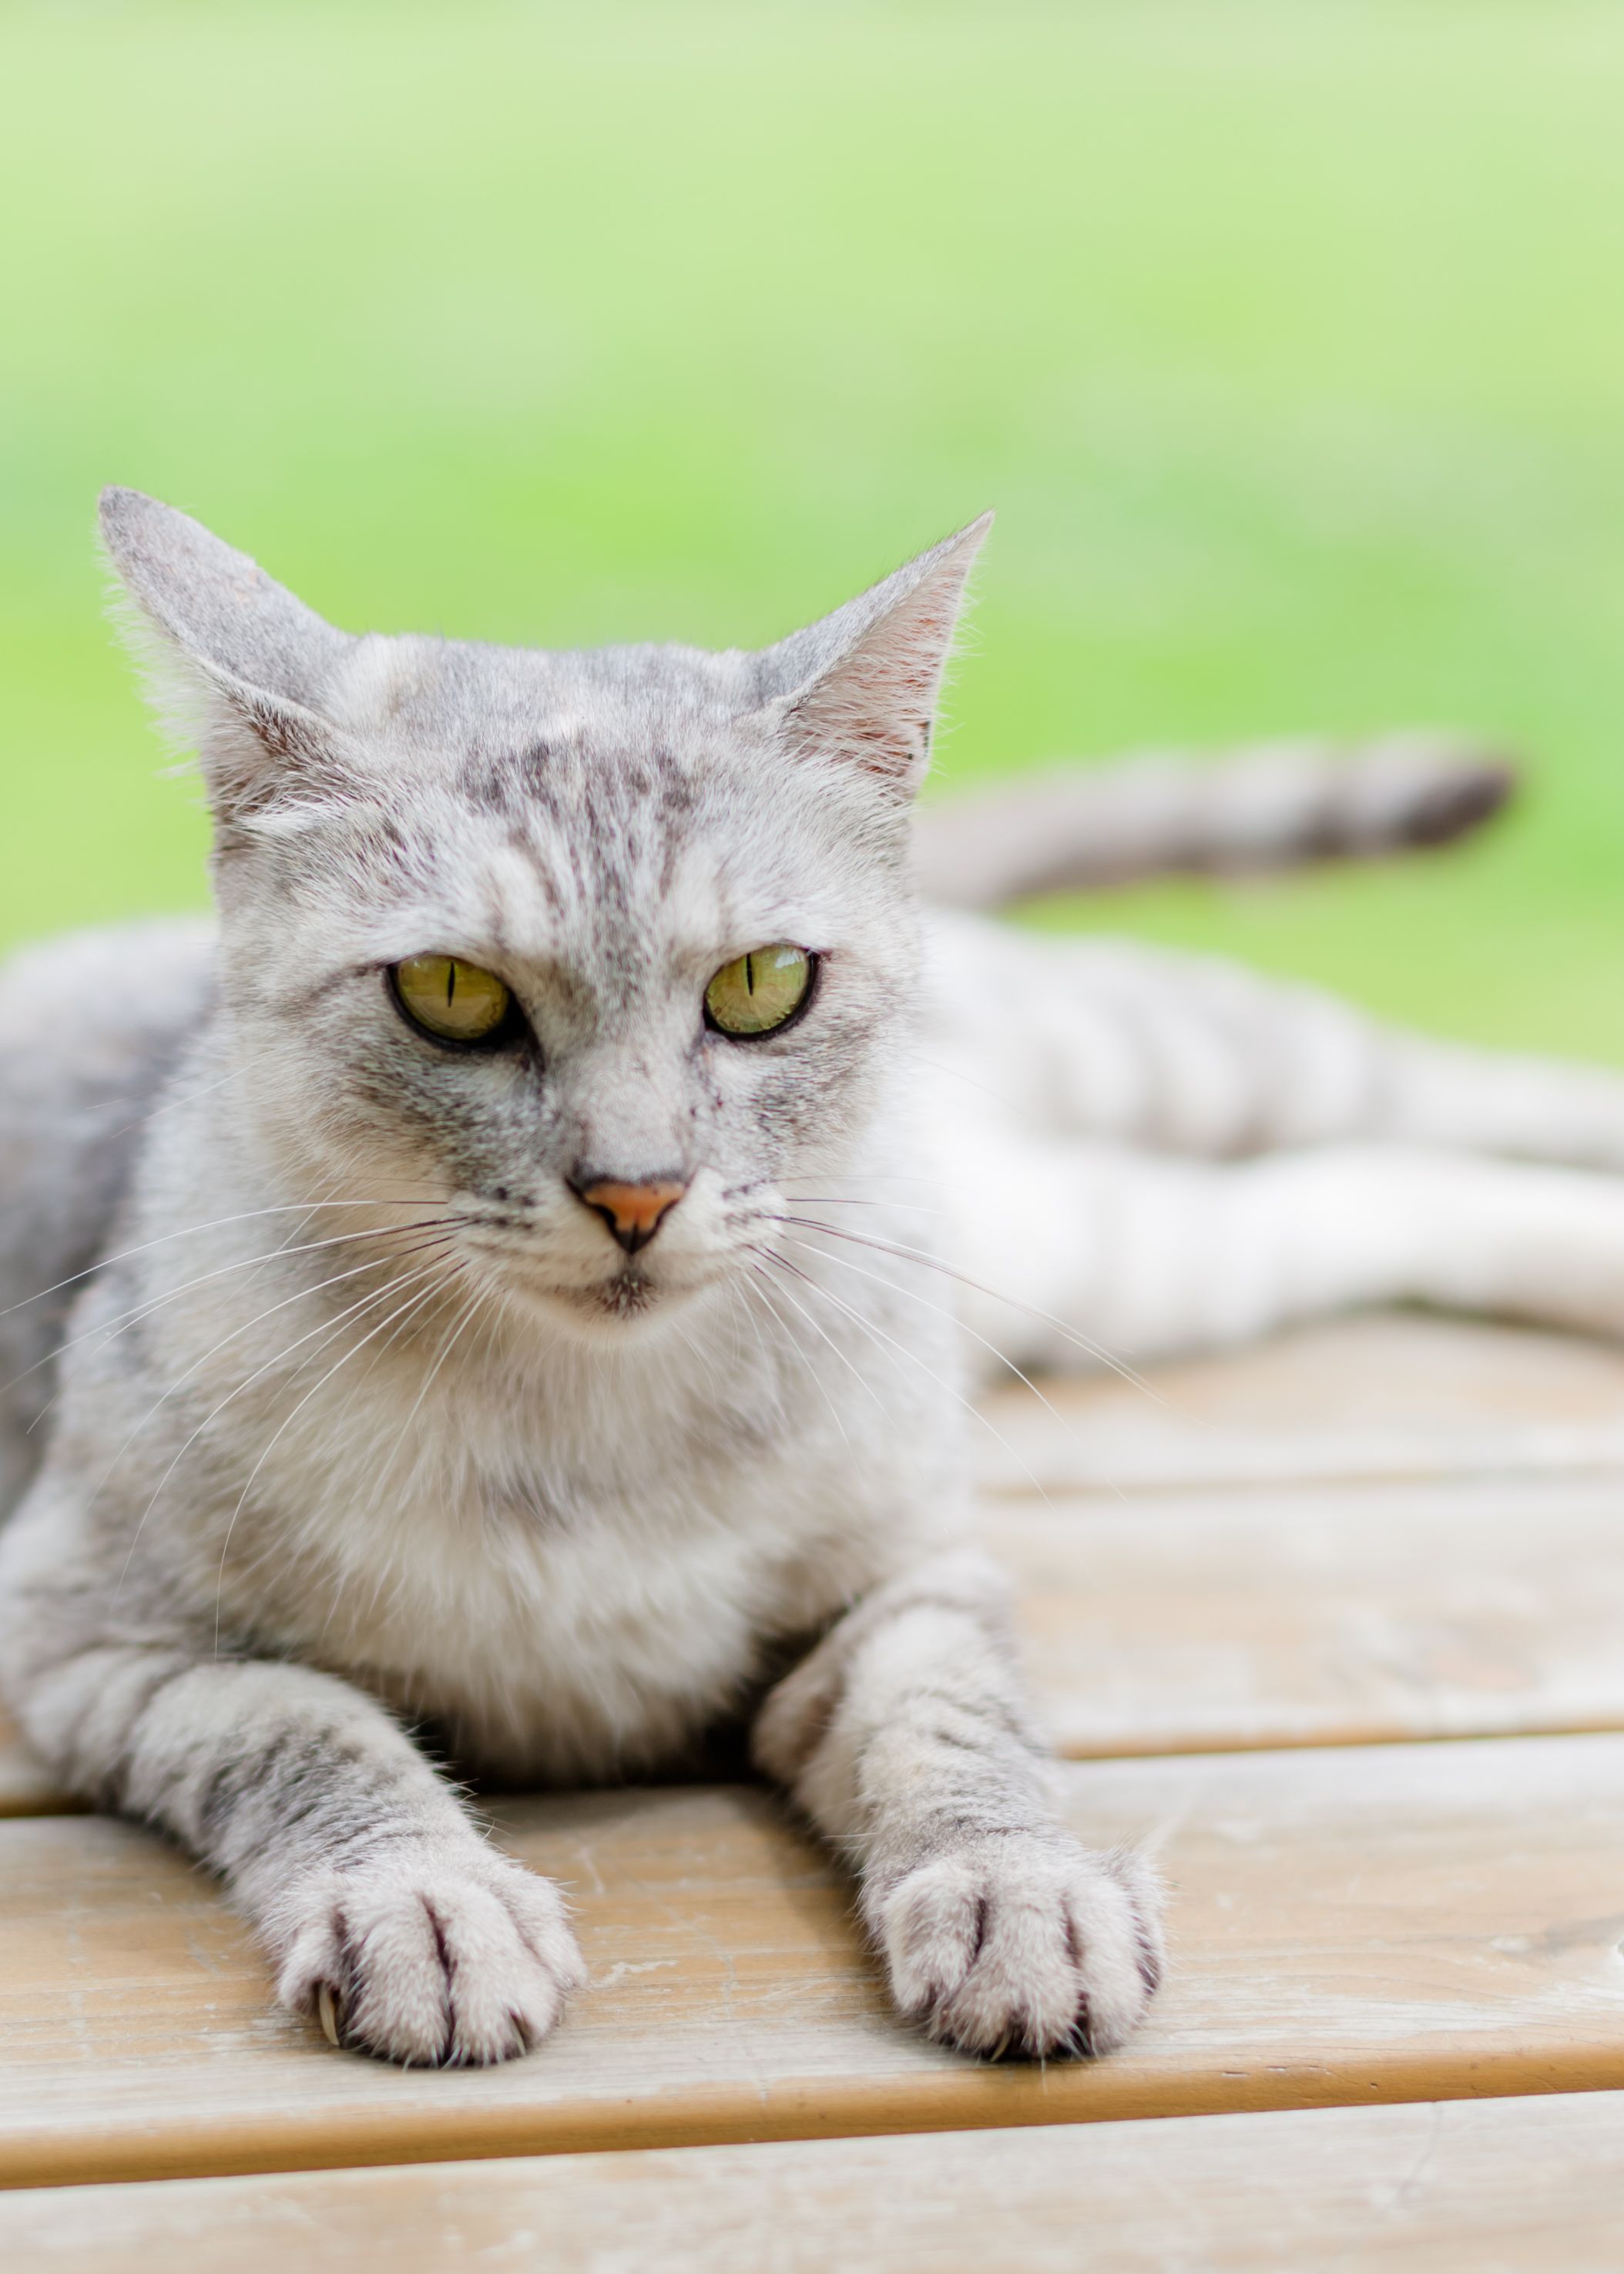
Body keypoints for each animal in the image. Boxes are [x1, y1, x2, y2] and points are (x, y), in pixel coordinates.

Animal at [9, 502, 1619, 2083]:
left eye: (762, 984)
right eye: (452, 995)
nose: (637, 1191)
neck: (591, 1437)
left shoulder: (903, 1578)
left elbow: (949, 1722)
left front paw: (1016, 1892)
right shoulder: (90, 1637)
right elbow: (303, 1727)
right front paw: (425, 1899)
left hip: (1153, 1091)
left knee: (1425, 1100)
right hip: (1117, 1248)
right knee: (1362, 1190)